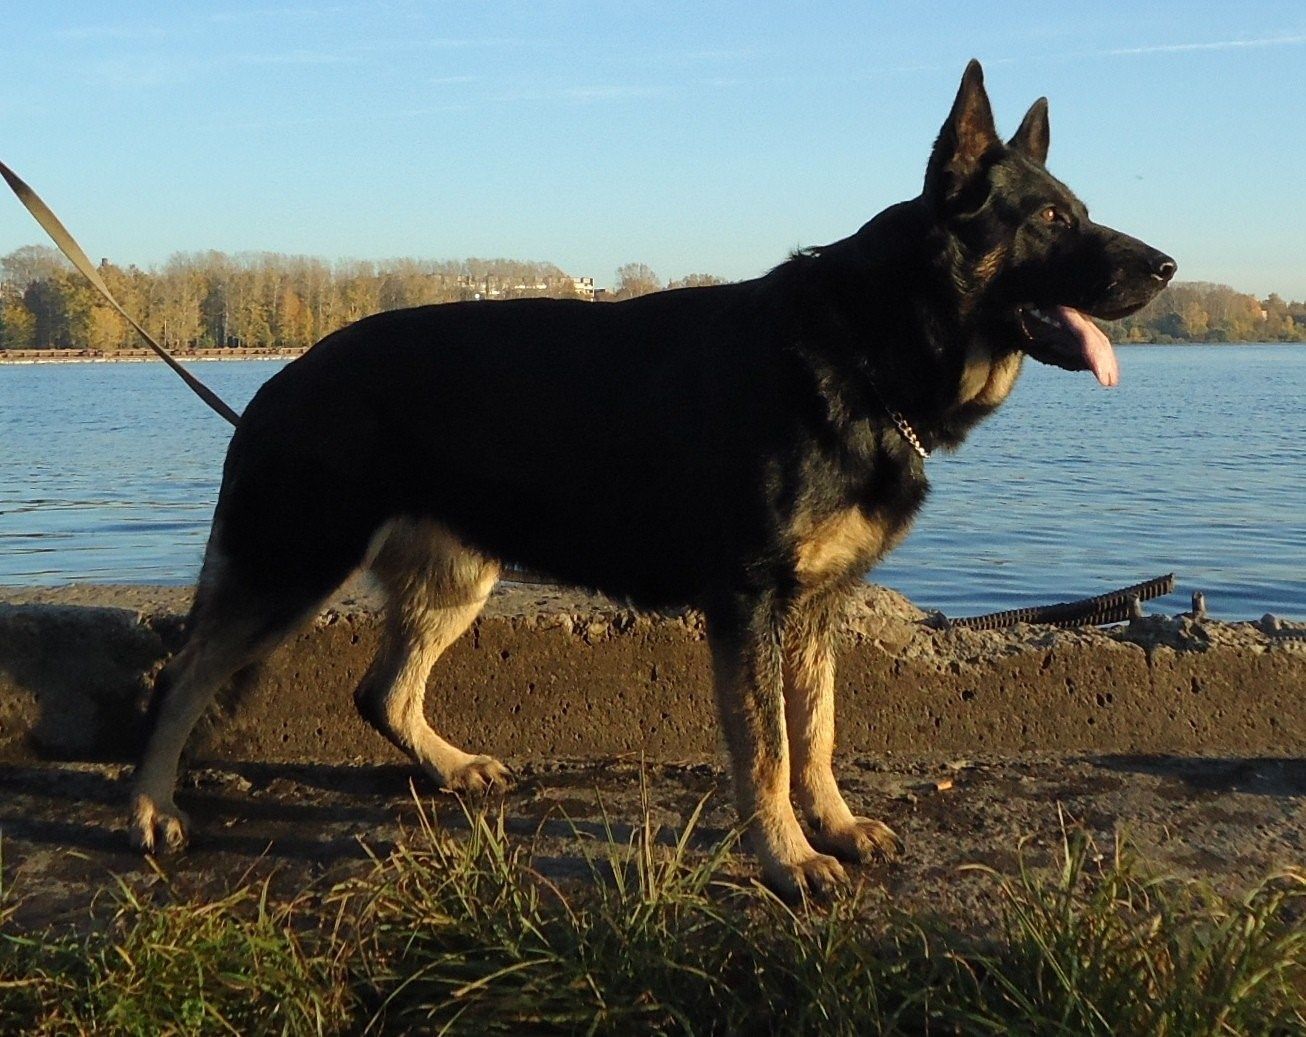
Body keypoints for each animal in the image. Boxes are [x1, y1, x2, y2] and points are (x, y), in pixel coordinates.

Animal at [129, 60, 1175, 893]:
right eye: (1051, 217)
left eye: (1081, 211)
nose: (1167, 265)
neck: (864, 351)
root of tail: (279, 378)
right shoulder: (751, 606)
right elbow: (767, 748)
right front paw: (789, 859)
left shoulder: (816, 607)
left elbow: (818, 731)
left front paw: (832, 826)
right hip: (294, 569)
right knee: (183, 675)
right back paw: (150, 809)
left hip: (454, 578)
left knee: (381, 691)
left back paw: (450, 767)